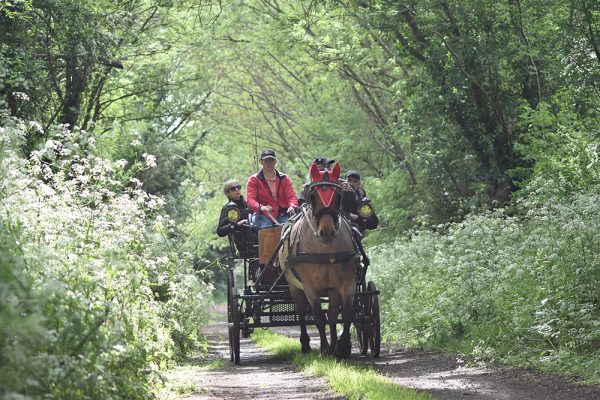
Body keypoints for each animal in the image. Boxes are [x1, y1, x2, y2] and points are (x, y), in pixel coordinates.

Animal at [278, 162, 358, 360]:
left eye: (338, 196)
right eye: (312, 196)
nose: (327, 232)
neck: (325, 250)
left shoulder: (346, 283)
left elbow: (345, 314)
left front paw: (342, 347)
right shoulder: (310, 287)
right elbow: (318, 316)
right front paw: (324, 349)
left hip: (331, 289)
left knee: (332, 314)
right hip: (295, 287)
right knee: (300, 311)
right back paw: (306, 345)